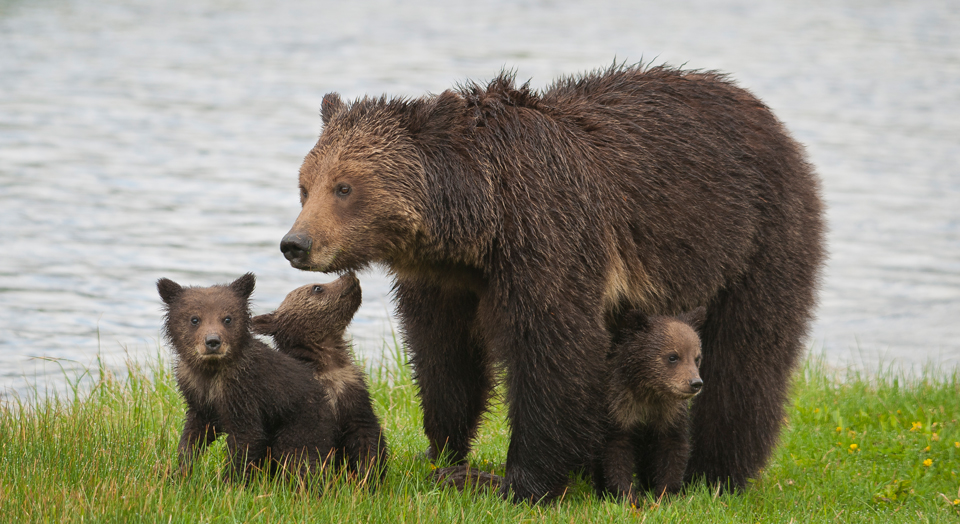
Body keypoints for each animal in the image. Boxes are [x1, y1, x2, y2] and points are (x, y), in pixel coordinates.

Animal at [158, 276, 338, 486]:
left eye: (228, 318)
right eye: (194, 319)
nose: (213, 342)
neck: (212, 371)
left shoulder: (245, 392)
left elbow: (246, 438)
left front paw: (229, 483)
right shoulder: (197, 395)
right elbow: (194, 435)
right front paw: (179, 473)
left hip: (302, 423)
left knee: (300, 458)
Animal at [255, 272, 394, 486]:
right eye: (317, 287)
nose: (349, 274)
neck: (326, 363)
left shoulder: (353, 396)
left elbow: (366, 439)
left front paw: (367, 476)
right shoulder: (305, 409)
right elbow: (303, 450)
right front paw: (312, 483)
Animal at [600, 308, 704, 504]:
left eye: (697, 357)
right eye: (673, 356)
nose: (695, 383)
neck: (649, 392)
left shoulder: (669, 413)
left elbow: (673, 449)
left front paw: (665, 494)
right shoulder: (619, 408)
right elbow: (616, 451)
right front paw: (627, 496)